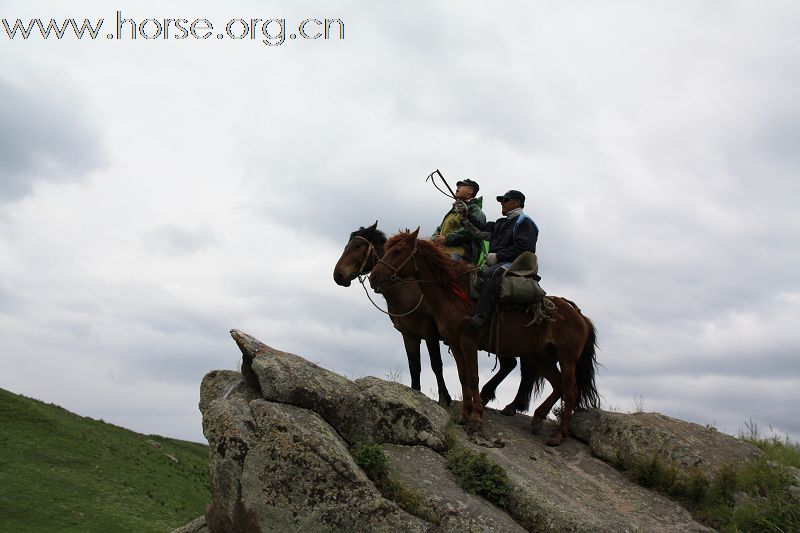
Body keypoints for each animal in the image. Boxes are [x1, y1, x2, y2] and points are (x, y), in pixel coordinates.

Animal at [332, 222, 536, 410]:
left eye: (358, 246)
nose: (338, 275)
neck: (408, 288)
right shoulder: (409, 335)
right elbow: (414, 365)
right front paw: (414, 393)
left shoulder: (429, 332)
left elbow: (436, 364)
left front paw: (444, 398)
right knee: (511, 365)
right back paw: (497, 400)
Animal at [370, 229, 600, 444]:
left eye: (397, 251)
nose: (373, 278)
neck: (453, 294)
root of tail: (579, 315)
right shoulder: (454, 344)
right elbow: (462, 377)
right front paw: (464, 415)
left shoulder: (467, 343)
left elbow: (473, 377)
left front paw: (476, 418)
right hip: (541, 358)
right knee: (558, 385)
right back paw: (536, 419)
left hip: (567, 358)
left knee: (570, 391)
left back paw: (558, 434)